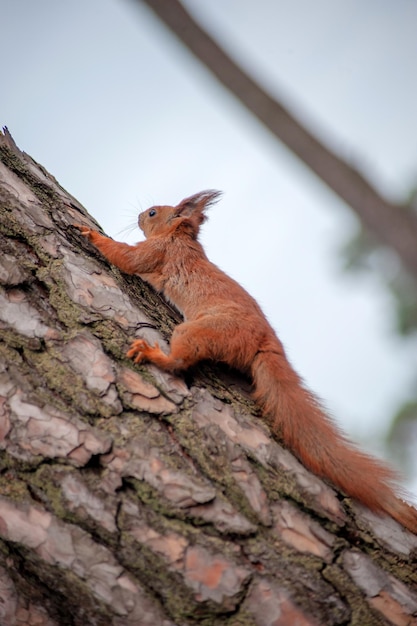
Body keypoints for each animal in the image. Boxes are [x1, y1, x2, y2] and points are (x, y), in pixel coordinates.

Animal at [75, 190, 416, 532]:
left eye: (153, 212)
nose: (138, 216)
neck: (179, 237)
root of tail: (266, 342)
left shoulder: (160, 252)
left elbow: (128, 258)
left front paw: (90, 233)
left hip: (204, 330)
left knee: (180, 362)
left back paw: (153, 354)